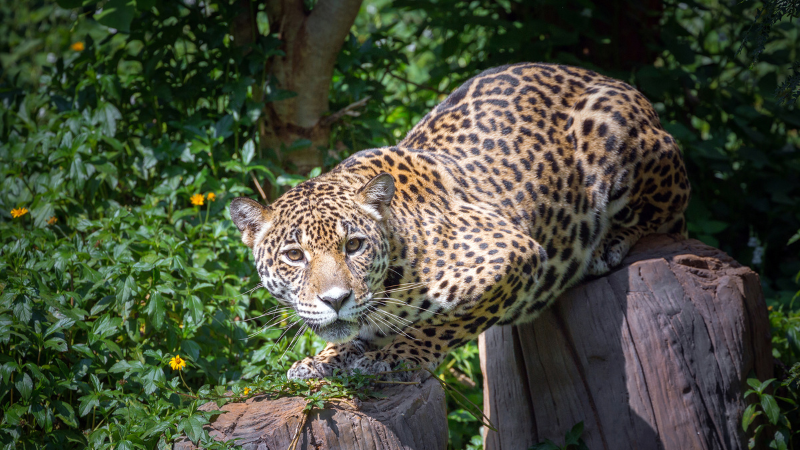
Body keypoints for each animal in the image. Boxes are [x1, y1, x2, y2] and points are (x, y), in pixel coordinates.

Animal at [229, 62, 690, 382]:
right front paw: (321, 361)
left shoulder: (514, 254)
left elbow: (446, 324)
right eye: (294, 255)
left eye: (354, 245)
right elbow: (351, 338)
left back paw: (610, 243)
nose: (335, 300)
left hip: (616, 131)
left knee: (670, 214)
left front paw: (397, 356)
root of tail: (607, 78)